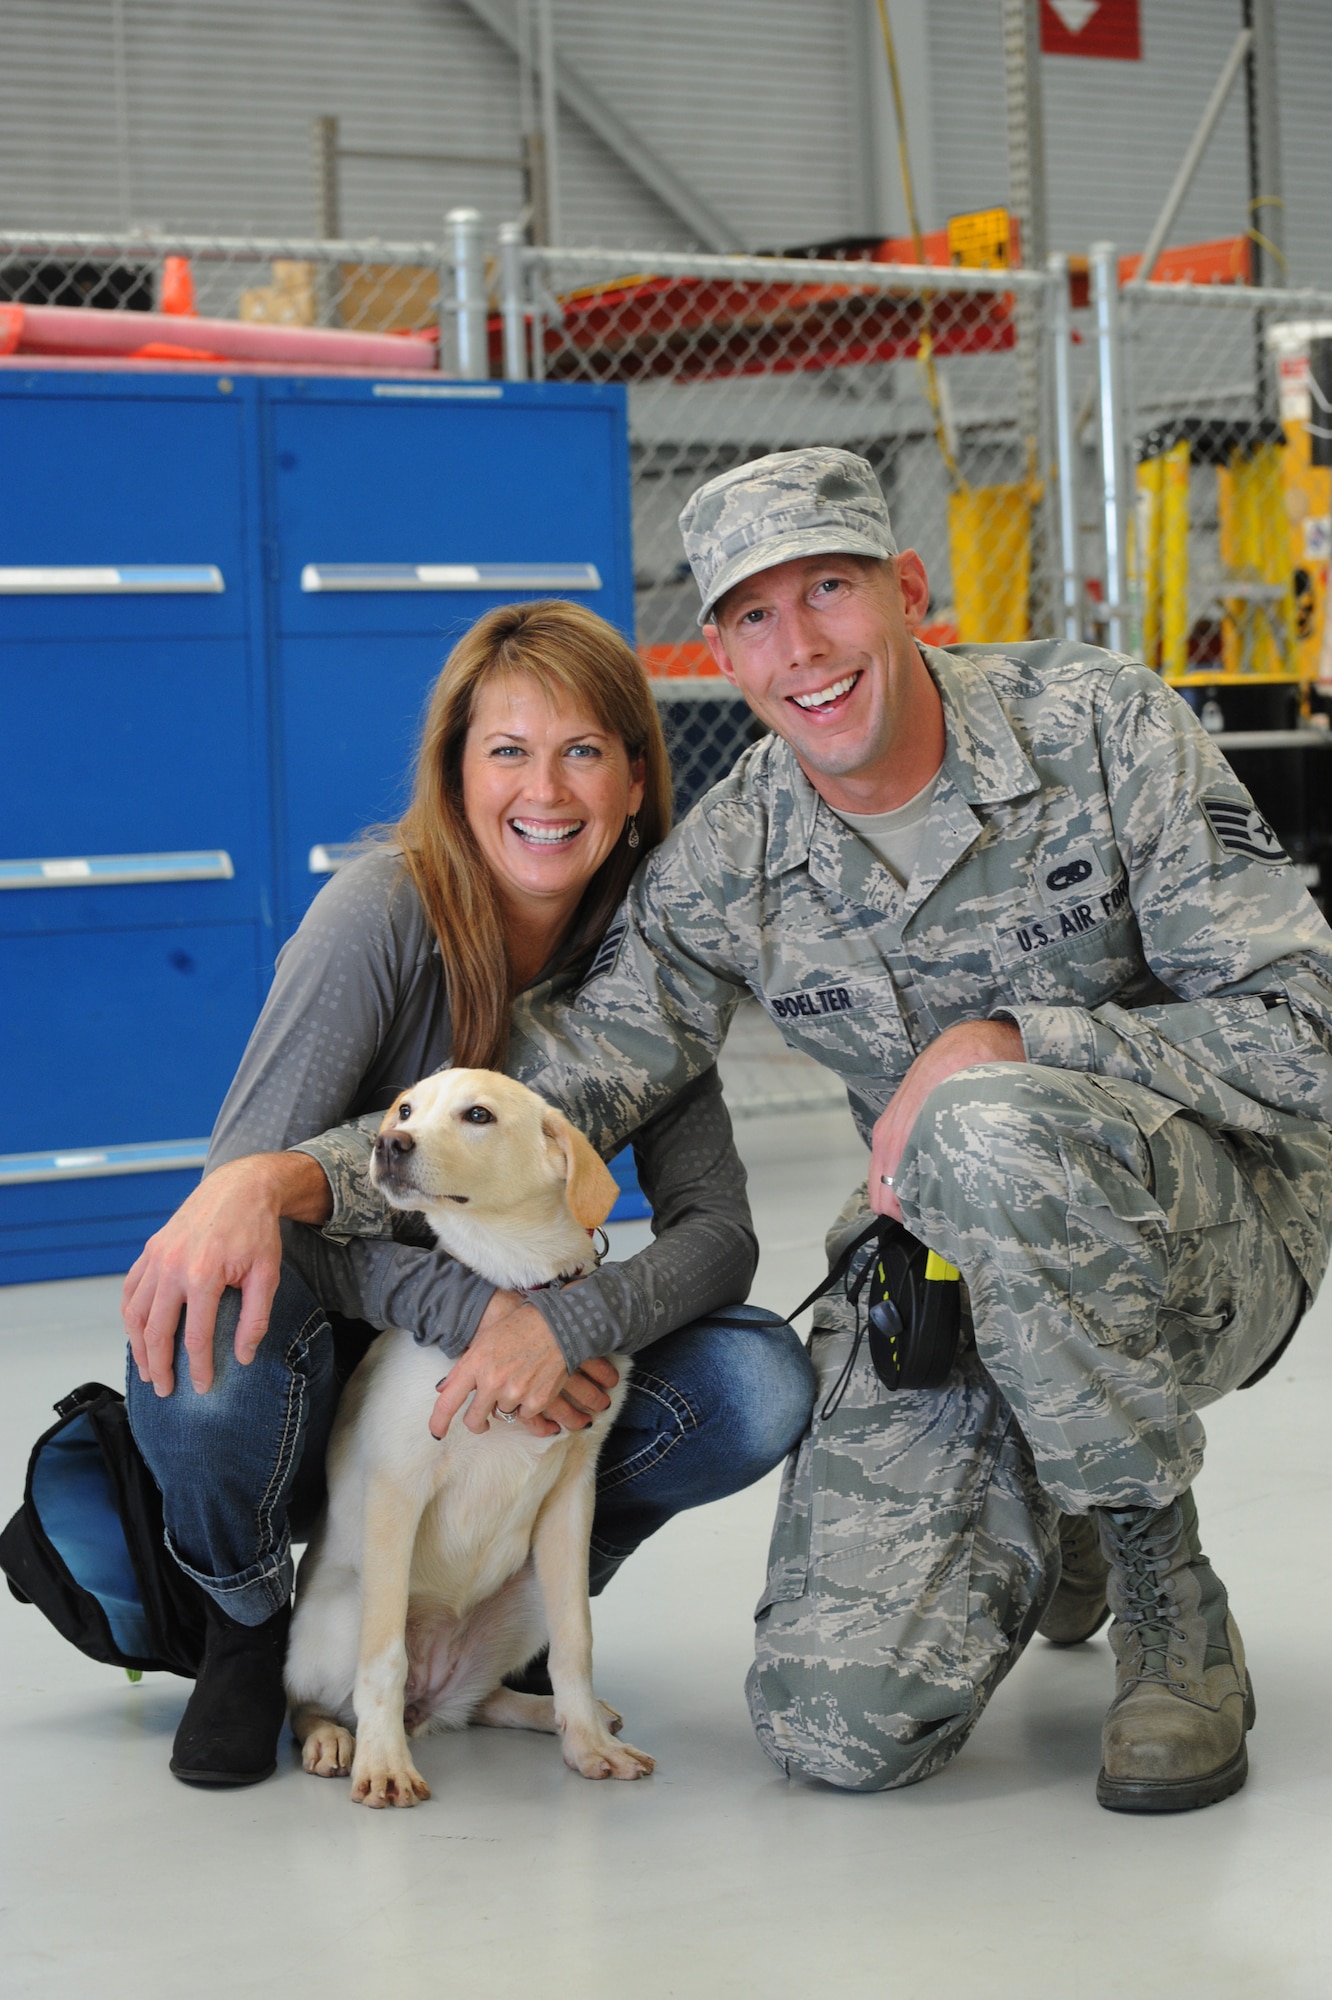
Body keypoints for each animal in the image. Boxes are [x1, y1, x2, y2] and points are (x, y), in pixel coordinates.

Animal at [286, 1072, 652, 1808]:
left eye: (477, 1116)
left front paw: (588, 1746)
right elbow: (382, 1659)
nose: (389, 1144)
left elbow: (577, 1642)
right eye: (403, 1110)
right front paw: (384, 1767)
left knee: (482, 1702)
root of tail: (428, 1704)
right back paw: (336, 1739)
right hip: (343, 1609)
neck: (517, 1279)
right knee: (313, 1697)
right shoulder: (398, 1488)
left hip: (528, 1595)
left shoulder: (572, 1495)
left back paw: (563, 1717)